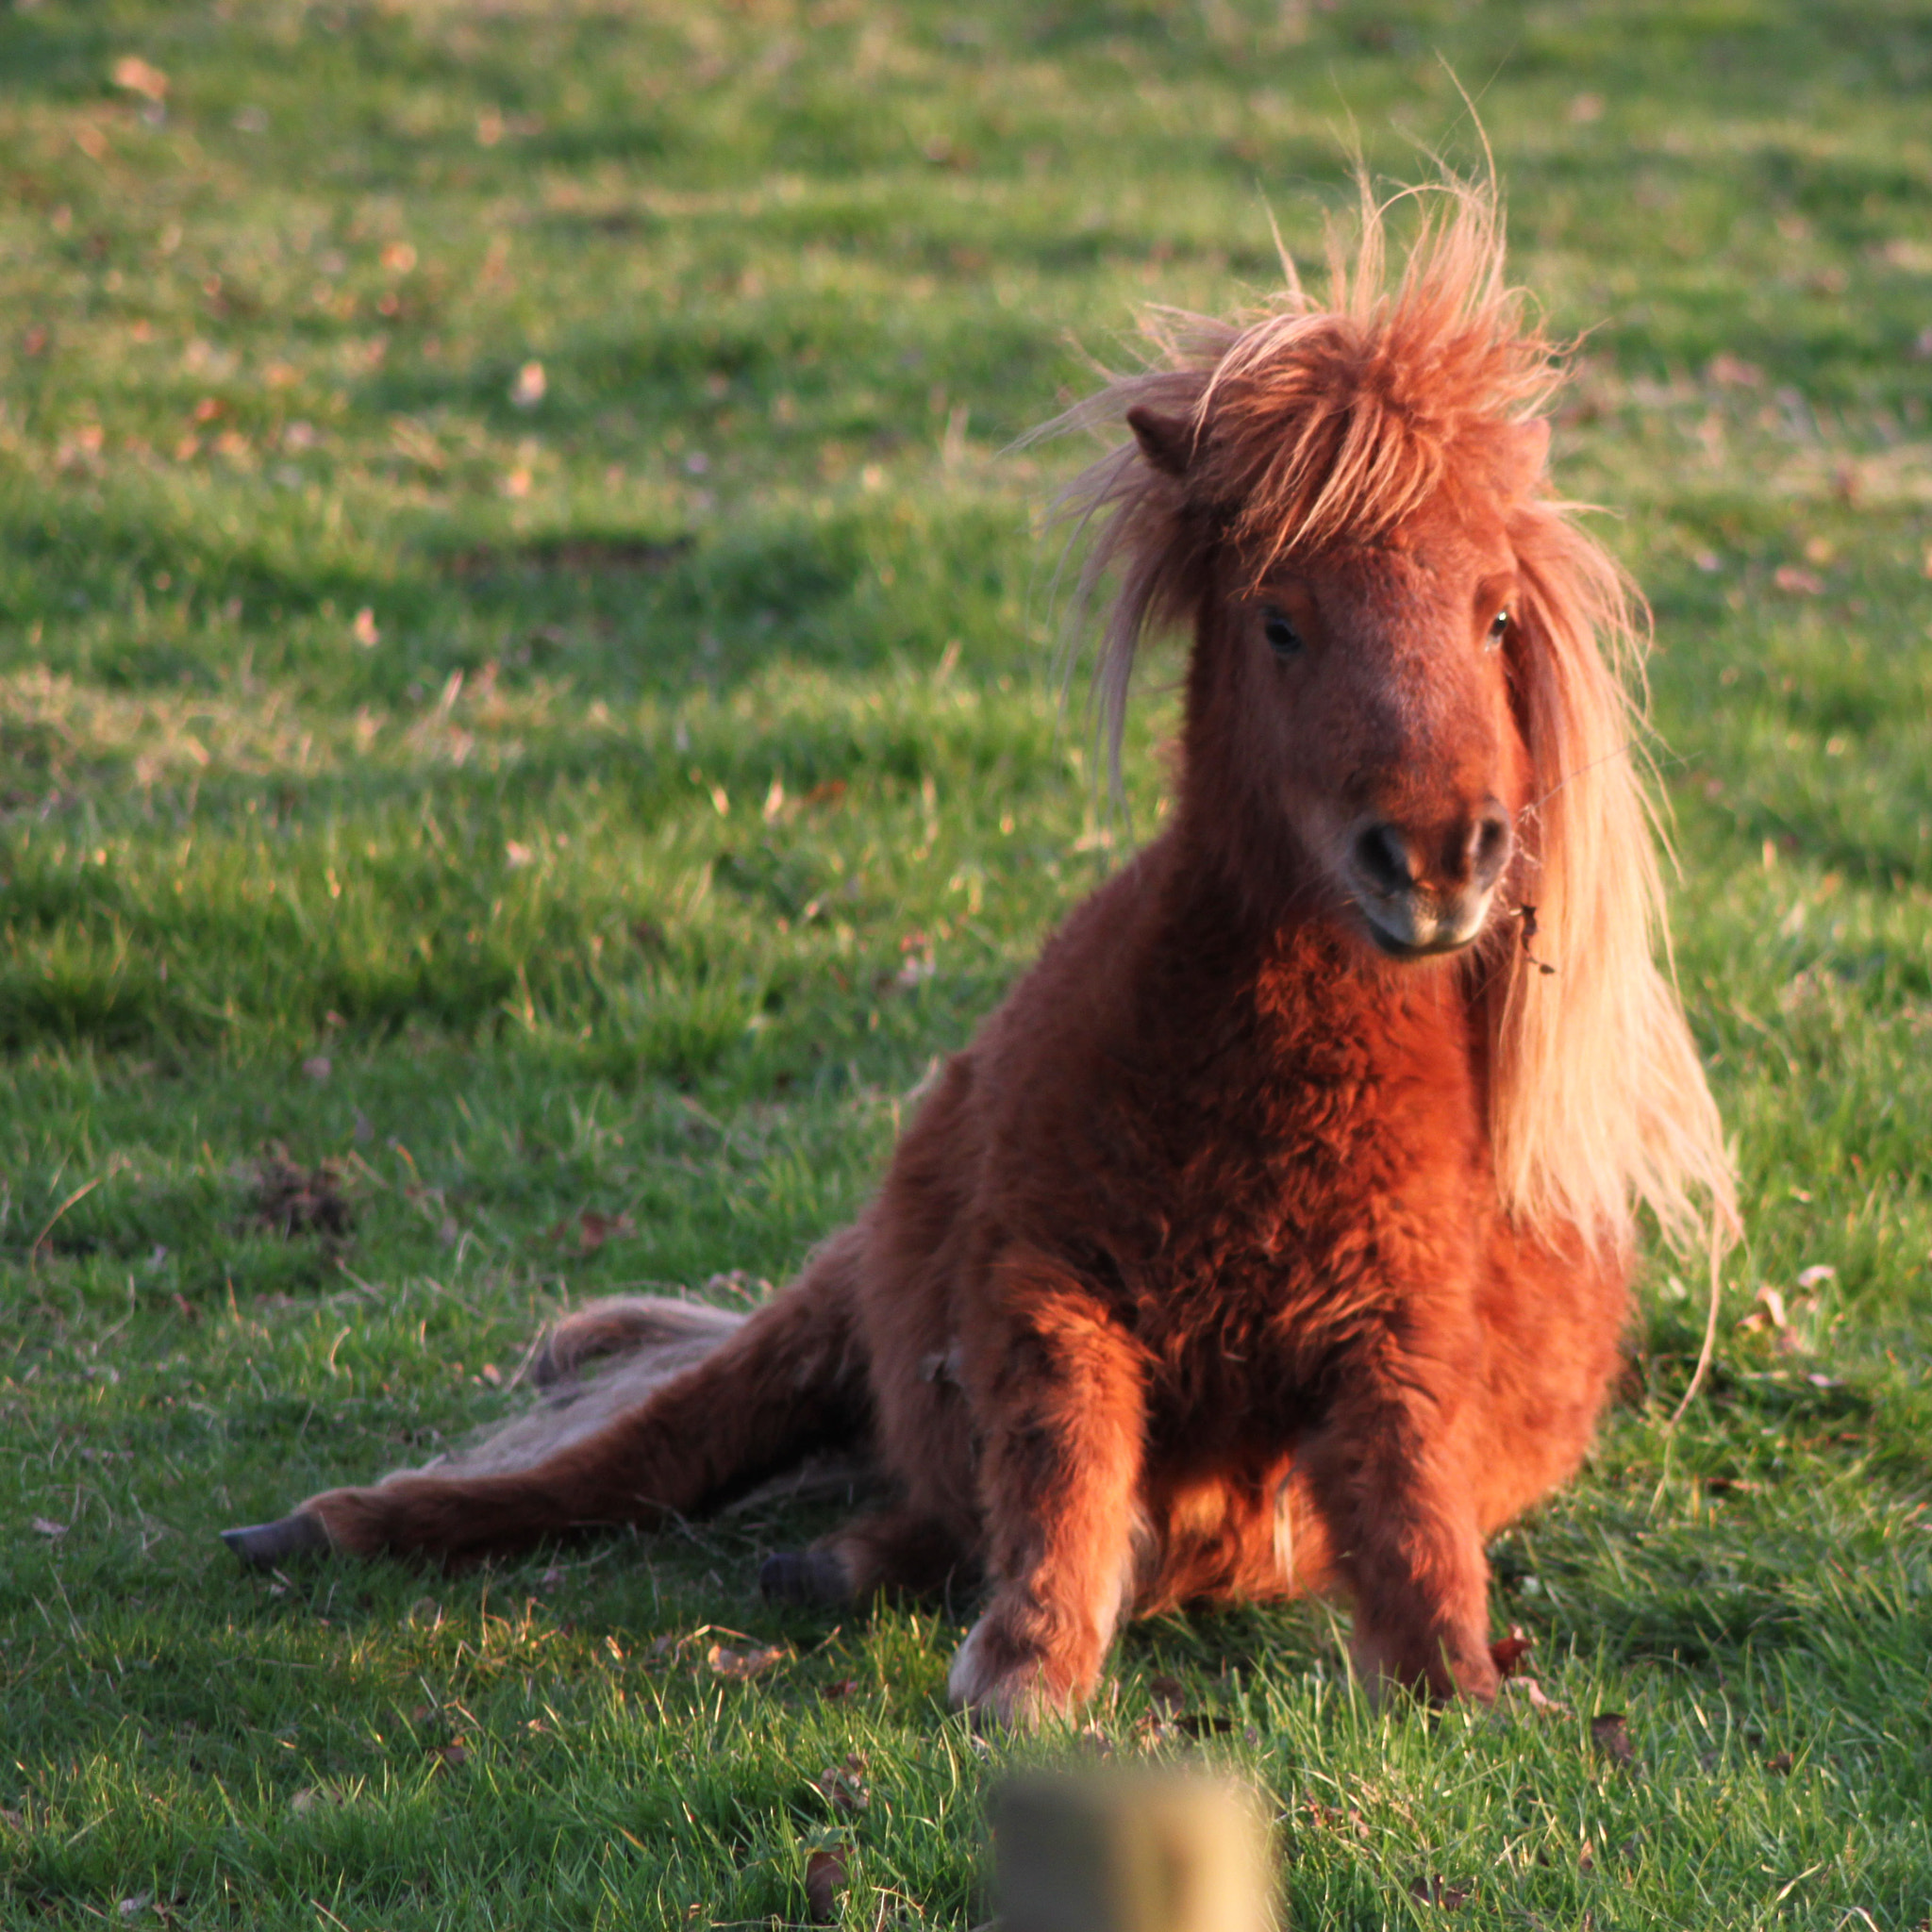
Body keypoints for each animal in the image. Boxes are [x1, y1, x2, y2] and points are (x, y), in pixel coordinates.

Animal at [223, 176, 1735, 1725]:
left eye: (1495, 617)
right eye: (1280, 620)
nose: (1437, 858)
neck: (1258, 1110)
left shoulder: (1395, 1349)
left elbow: (1409, 1523)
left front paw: (1469, 1682)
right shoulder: (1039, 1285)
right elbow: (1063, 1455)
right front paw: (1025, 1673)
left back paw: (824, 1561)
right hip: (829, 1300)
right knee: (652, 1446)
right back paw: (327, 1528)